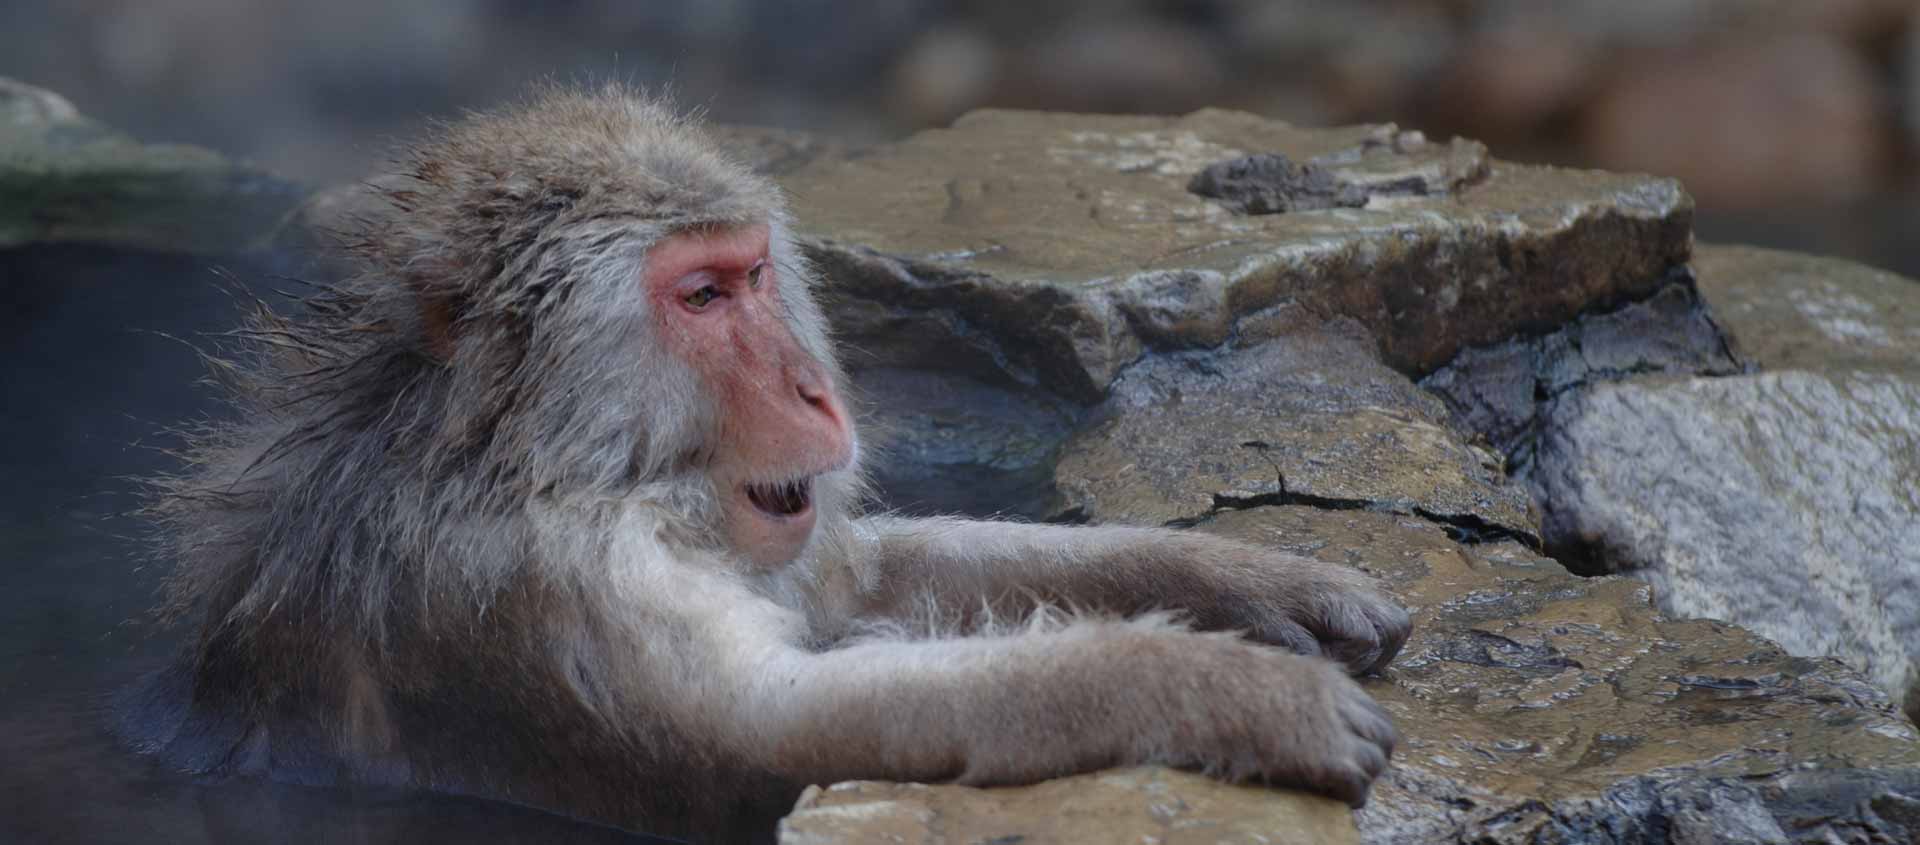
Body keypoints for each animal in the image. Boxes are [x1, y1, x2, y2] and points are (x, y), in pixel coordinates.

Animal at [119, 85, 1411, 842]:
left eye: (749, 274)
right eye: (699, 298)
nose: (813, 387)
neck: (524, 463)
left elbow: (877, 577)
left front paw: (1254, 582)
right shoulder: (539, 590)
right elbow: (779, 725)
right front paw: (1227, 689)